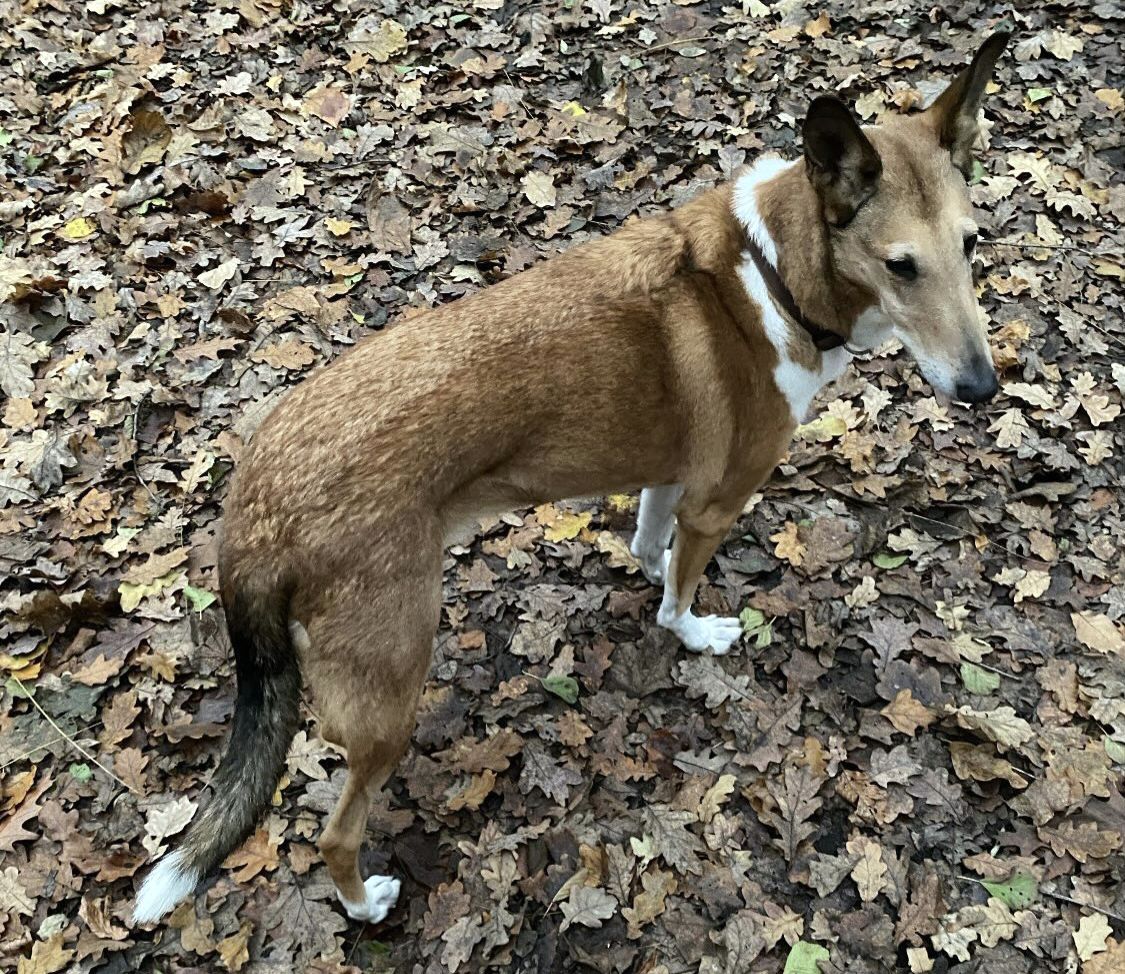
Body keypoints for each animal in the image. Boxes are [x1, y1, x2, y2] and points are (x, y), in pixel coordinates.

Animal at [131, 32, 1012, 926]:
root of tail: (259, 504)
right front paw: (693, 634)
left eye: (972, 245)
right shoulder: (717, 500)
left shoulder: (671, 477)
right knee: (333, 834)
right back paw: (365, 902)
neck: (773, 276)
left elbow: (650, 547)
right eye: (900, 266)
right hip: (391, 684)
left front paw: (654, 578)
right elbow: (680, 595)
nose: (982, 388)